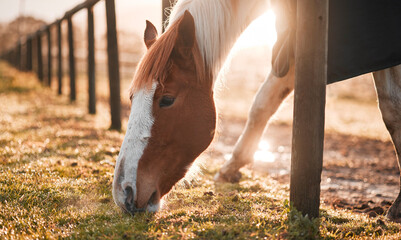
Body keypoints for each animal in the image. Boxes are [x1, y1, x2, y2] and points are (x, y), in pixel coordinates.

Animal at [111, 0, 400, 223]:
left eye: (167, 99)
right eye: (132, 97)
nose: (124, 192)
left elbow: (391, 108)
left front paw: (396, 208)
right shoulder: (293, 44)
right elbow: (262, 103)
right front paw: (232, 166)